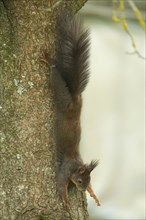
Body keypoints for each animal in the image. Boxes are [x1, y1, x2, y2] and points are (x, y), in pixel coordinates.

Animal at [41, 10, 100, 210]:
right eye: (80, 181)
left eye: (88, 180)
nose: (82, 189)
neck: (76, 165)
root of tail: (74, 98)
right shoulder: (64, 169)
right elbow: (60, 184)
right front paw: (66, 200)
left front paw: (93, 195)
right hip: (61, 94)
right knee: (55, 75)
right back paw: (49, 60)